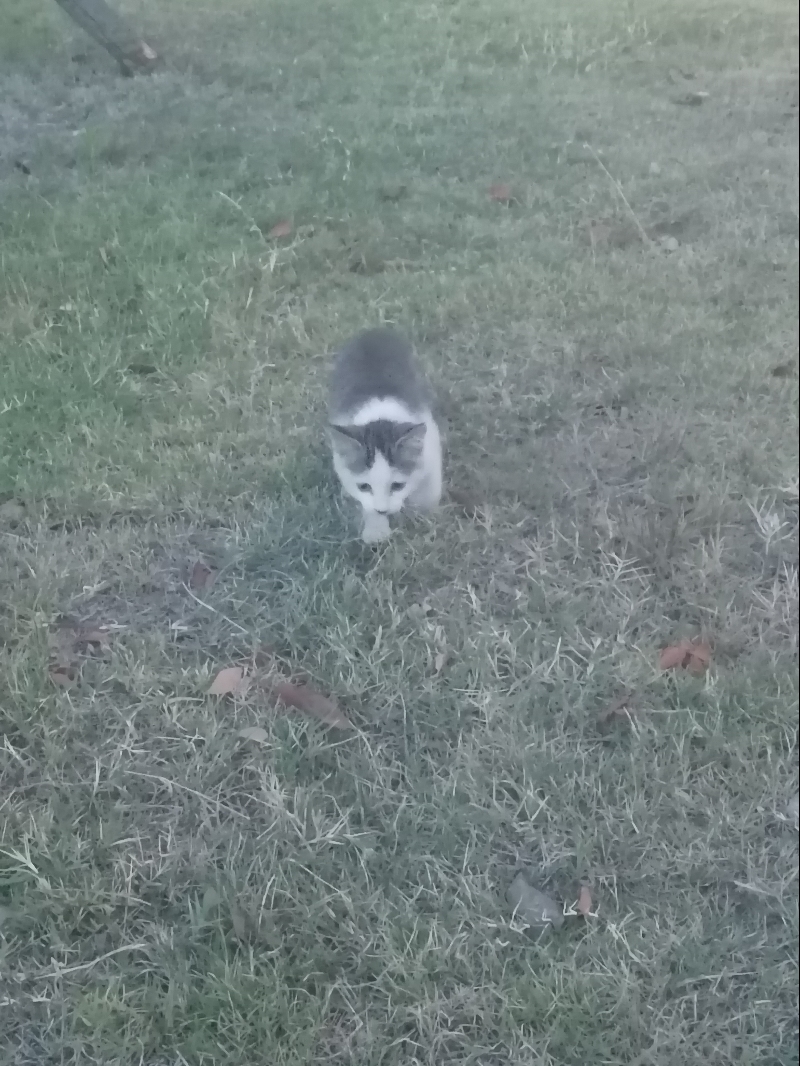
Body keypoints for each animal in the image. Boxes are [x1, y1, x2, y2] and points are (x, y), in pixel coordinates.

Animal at [330, 326, 445, 545]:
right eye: (365, 486)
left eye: (398, 485)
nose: (382, 510)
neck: (380, 415)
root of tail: (372, 331)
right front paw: (376, 530)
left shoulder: (430, 448)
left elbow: (428, 487)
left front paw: (424, 514)